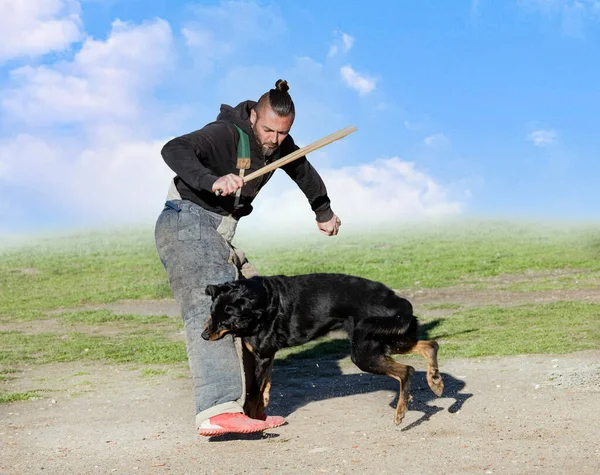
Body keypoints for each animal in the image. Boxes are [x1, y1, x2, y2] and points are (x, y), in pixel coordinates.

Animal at [204, 274, 442, 426]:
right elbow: (264, 387)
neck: (260, 301)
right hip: (388, 340)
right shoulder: (267, 355)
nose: (204, 336)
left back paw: (401, 410)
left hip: (364, 350)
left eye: (225, 321)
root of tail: (399, 302)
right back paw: (435, 380)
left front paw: (254, 420)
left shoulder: (262, 354)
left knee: (407, 370)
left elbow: (253, 394)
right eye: (211, 313)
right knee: (430, 345)